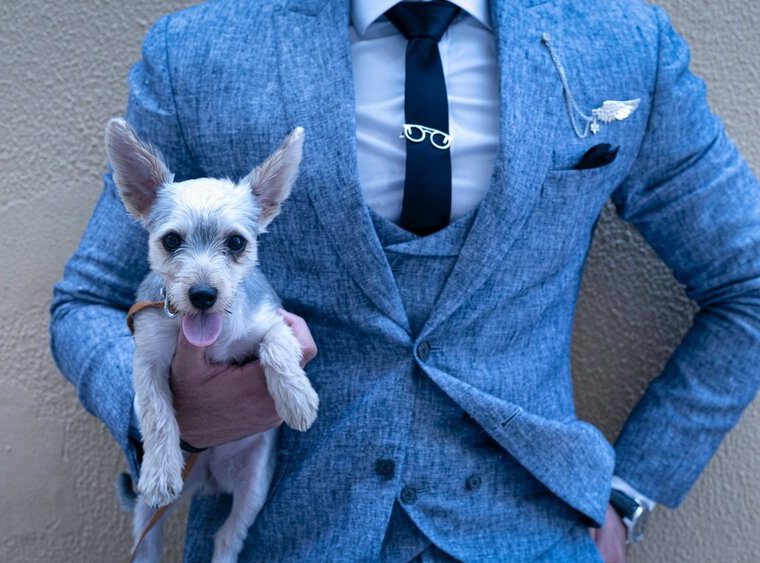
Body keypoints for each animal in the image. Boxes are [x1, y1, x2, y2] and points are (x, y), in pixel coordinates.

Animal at [106, 117, 318, 560]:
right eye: (171, 240)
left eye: (236, 242)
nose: (203, 294)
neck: (207, 330)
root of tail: (209, 476)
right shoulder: (148, 360)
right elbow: (156, 414)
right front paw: (161, 469)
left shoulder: (275, 321)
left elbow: (277, 348)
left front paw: (296, 398)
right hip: (148, 516)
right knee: (148, 542)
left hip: (253, 488)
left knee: (226, 537)